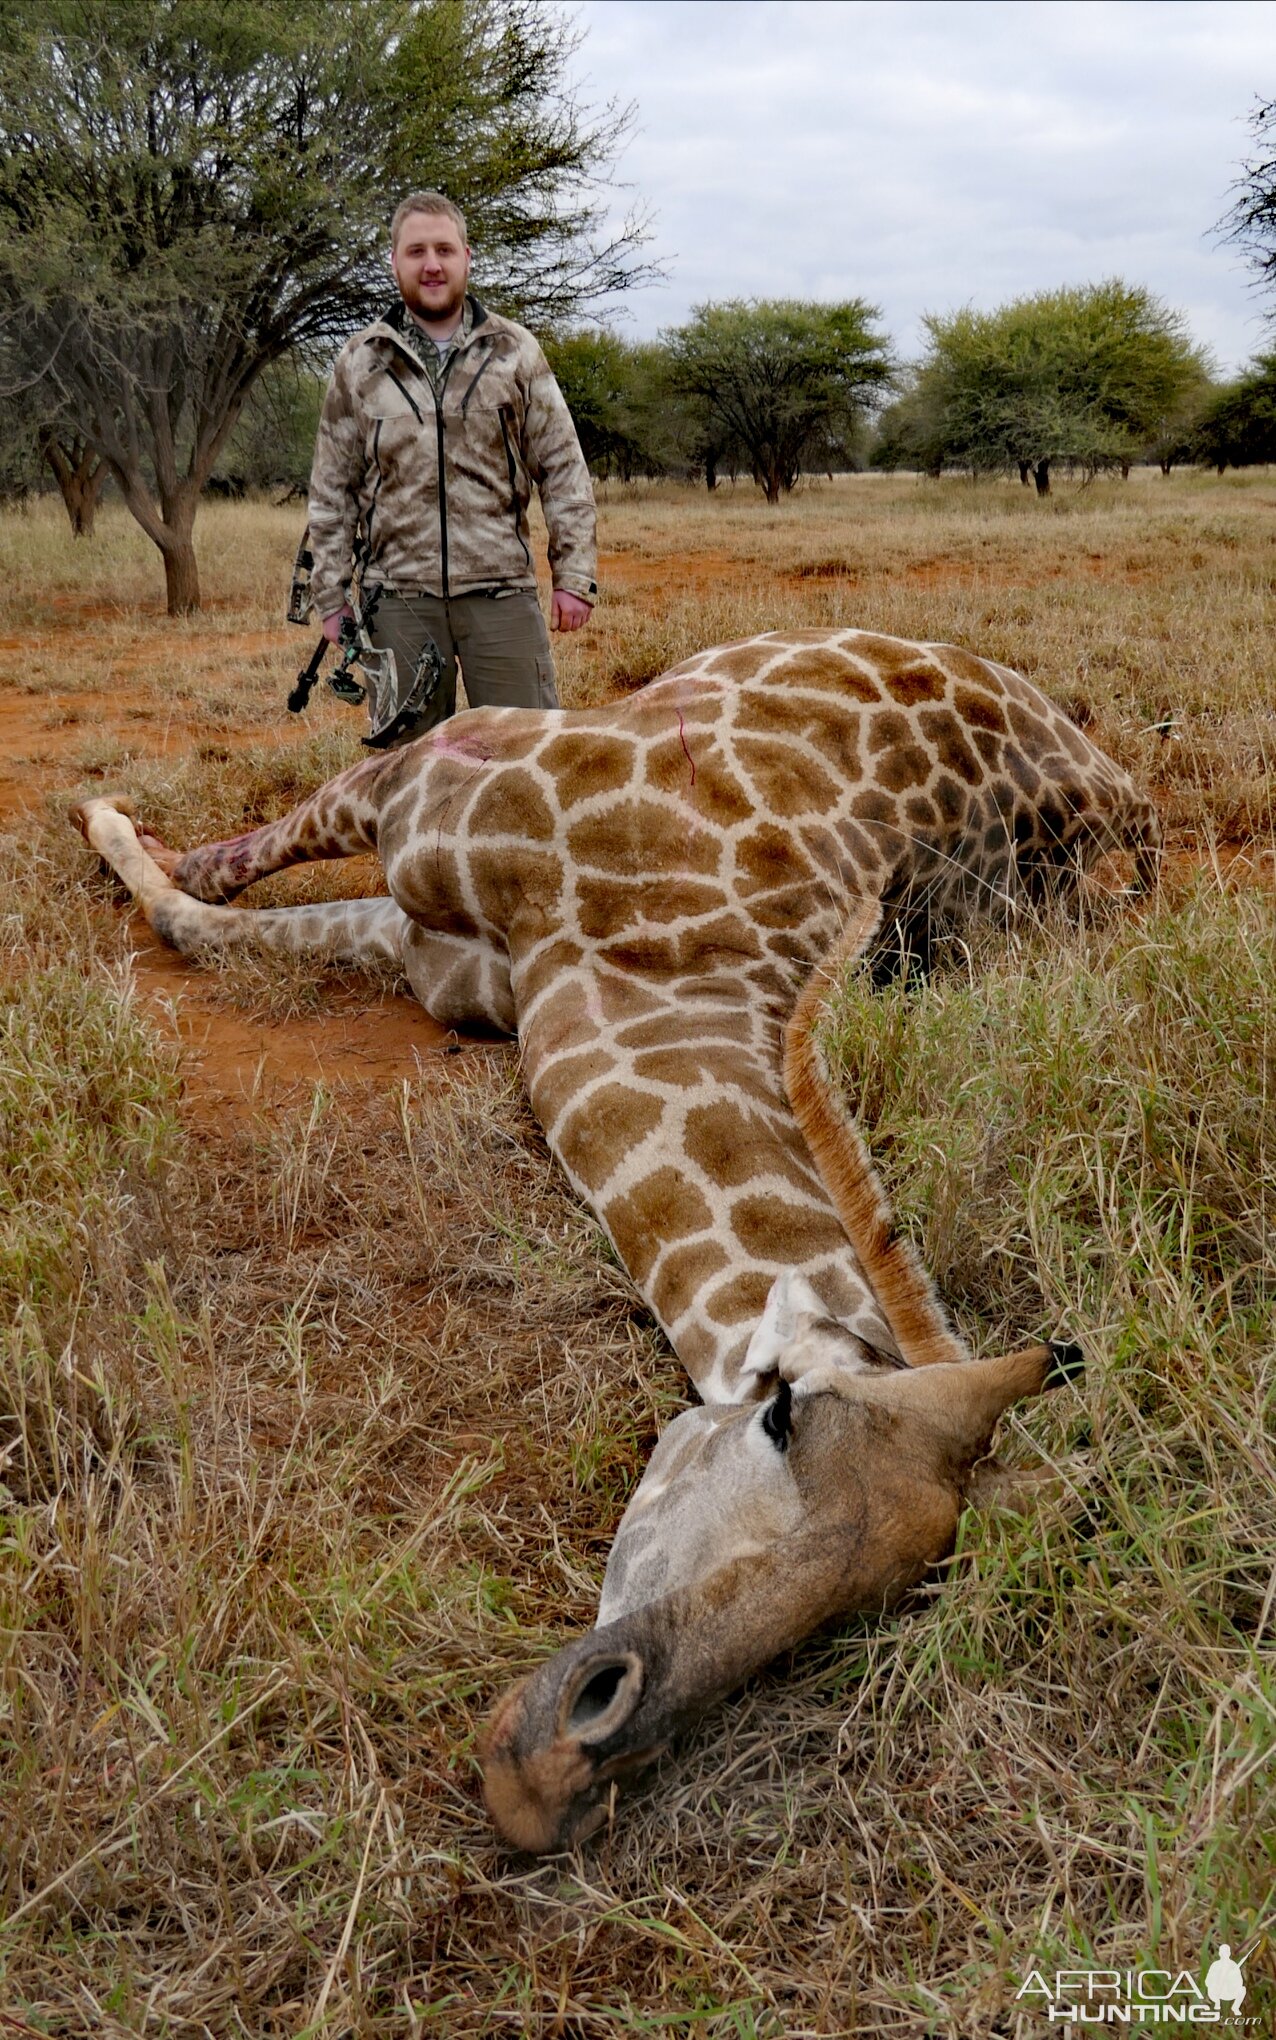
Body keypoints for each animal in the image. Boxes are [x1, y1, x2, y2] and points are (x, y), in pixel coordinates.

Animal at [71, 628, 1167, 1860]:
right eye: (779, 1416)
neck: (653, 960)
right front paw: (108, 816)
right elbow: (214, 886)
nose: (550, 1773)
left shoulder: (432, 928)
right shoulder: (415, 794)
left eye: (865, 1604)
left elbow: (205, 917)